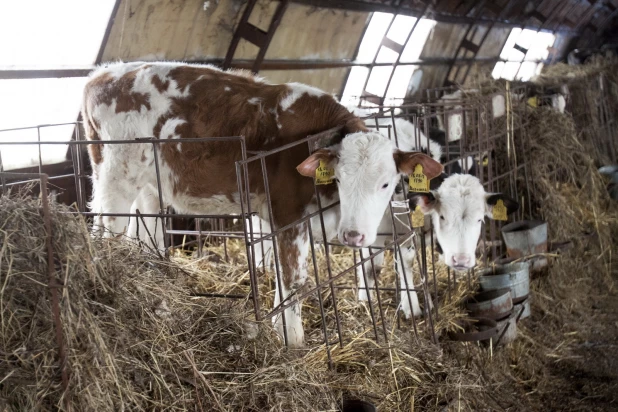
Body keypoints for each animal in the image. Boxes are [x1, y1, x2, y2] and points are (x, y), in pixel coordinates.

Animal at [82, 61, 440, 346]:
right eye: (338, 178)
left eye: (386, 183)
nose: (353, 236)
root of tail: (103, 74)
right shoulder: (287, 213)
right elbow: (294, 280)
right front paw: (293, 342)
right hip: (115, 176)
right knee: (106, 233)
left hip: (148, 187)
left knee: (142, 237)